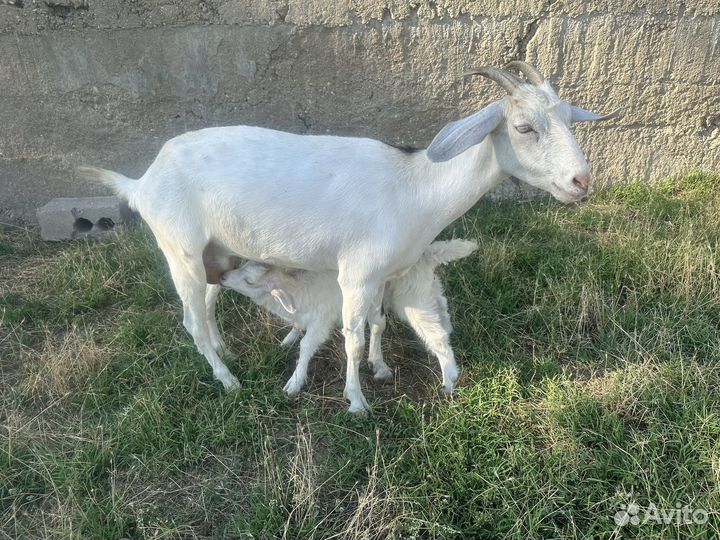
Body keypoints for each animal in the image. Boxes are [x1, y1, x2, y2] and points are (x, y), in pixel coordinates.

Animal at [219, 239, 477, 396]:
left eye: (250, 281)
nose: (222, 276)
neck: (298, 288)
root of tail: (428, 255)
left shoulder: (321, 322)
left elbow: (306, 346)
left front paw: (294, 382)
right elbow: (296, 327)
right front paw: (288, 339)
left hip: (412, 299)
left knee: (436, 336)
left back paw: (448, 380)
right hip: (427, 292)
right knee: (443, 317)